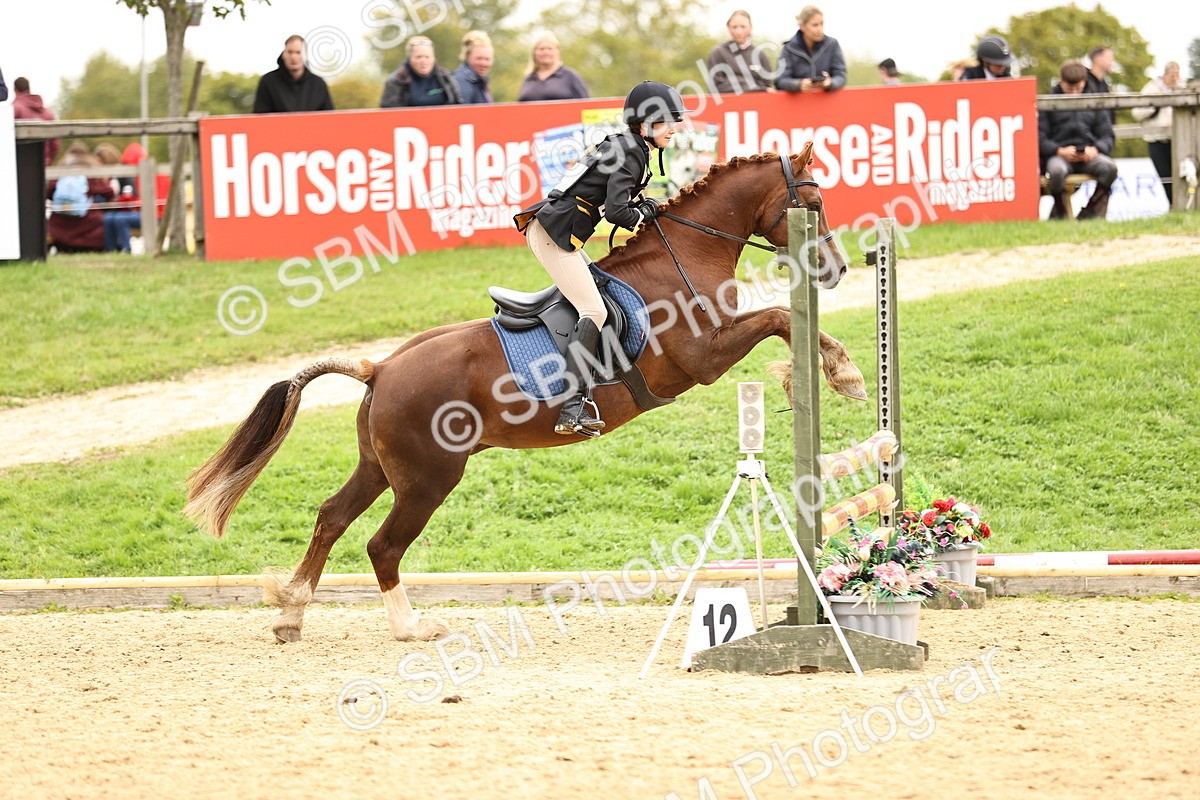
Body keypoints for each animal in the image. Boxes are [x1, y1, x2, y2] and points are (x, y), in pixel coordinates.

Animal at [185, 143, 867, 643]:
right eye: (814, 200)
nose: (837, 269)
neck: (685, 254)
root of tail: (380, 368)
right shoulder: (703, 359)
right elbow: (778, 317)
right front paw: (842, 373)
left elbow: (778, 319)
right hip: (429, 478)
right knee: (382, 544)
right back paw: (410, 629)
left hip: (380, 467)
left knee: (331, 517)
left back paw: (291, 612)